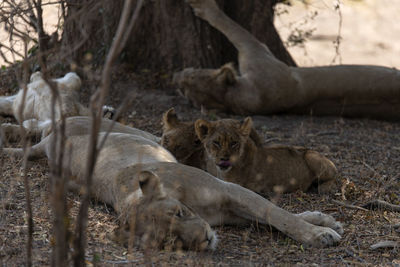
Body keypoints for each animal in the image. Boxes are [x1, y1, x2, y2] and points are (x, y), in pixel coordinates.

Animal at [3, 117, 344, 251]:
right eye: (170, 242)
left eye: (178, 214)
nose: (206, 239)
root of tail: (50, 142)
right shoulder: (228, 212)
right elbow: (270, 217)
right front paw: (321, 224)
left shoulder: (230, 190)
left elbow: (279, 216)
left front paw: (319, 232)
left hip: (128, 131)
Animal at [162, 108, 338, 195]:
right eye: (216, 143)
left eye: (234, 143)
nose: (224, 159)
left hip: (311, 156)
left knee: (335, 175)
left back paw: (324, 188)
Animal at [174, 0, 400, 119]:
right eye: (185, 93)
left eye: (191, 76)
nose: (177, 77)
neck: (235, 97)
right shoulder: (259, 56)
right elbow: (235, 29)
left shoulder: (257, 52)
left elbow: (233, 29)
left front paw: (203, 5)